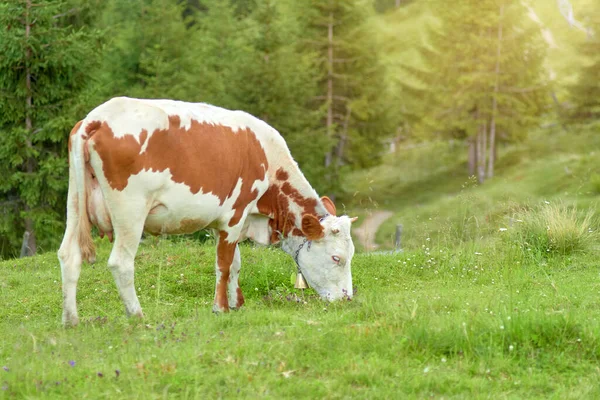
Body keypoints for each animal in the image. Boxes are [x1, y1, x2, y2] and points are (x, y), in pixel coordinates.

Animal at [57, 97, 356, 324]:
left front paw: (237, 303)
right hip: (130, 211)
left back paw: (71, 320)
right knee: (121, 262)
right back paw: (137, 315)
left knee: (68, 254)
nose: (347, 298)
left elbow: (235, 263)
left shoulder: (225, 221)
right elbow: (223, 264)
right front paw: (220, 307)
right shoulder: (235, 214)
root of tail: (97, 117)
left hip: (74, 201)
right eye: (336, 258)